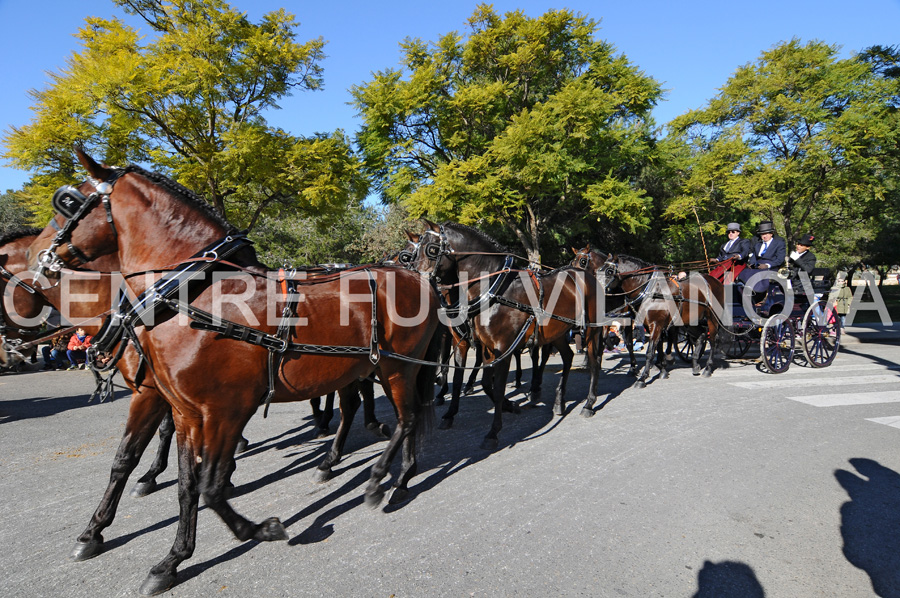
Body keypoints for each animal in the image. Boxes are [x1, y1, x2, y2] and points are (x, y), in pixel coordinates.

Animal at [29, 149, 444, 596]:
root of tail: (419, 279)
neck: (197, 296)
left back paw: (379, 480)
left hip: (398, 368)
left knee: (406, 419)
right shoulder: (184, 412)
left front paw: (261, 529)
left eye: (67, 201)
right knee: (387, 414)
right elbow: (184, 483)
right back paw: (396, 477)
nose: (37, 255)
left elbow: (210, 487)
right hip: (371, 370)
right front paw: (171, 559)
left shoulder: (224, 409)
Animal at [402, 220, 604, 440]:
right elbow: (475, 381)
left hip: (591, 330)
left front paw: (493, 431)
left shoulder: (503, 346)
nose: (413, 280)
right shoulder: (478, 344)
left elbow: (497, 387)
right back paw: (559, 401)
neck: (494, 289)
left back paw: (589, 403)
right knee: (567, 357)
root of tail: (586, 276)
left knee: (594, 361)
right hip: (557, 331)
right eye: (410, 255)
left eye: (431, 249)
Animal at [568, 246, 724, 392]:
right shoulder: (647, 324)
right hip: (690, 321)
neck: (651, 290)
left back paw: (707, 368)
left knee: (713, 339)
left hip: (712, 319)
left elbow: (649, 351)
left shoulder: (654, 324)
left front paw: (642, 377)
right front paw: (660, 369)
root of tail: (713, 281)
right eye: (600, 269)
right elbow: (651, 346)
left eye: (609, 271)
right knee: (700, 336)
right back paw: (695, 364)